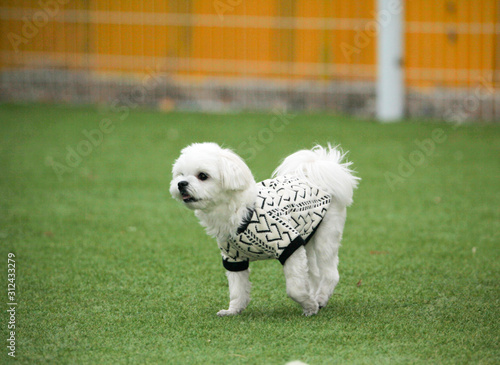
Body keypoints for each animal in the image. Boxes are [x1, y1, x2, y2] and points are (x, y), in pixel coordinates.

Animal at [170, 142, 358, 316]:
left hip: (325, 236)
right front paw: (233, 310)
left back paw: (320, 298)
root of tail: (315, 172)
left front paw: (310, 306)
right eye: (180, 175)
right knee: (315, 274)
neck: (239, 210)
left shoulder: (290, 245)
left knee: (330, 273)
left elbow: (295, 289)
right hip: (308, 235)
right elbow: (238, 290)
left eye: (203, 176)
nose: (181, 184)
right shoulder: (234, 258)